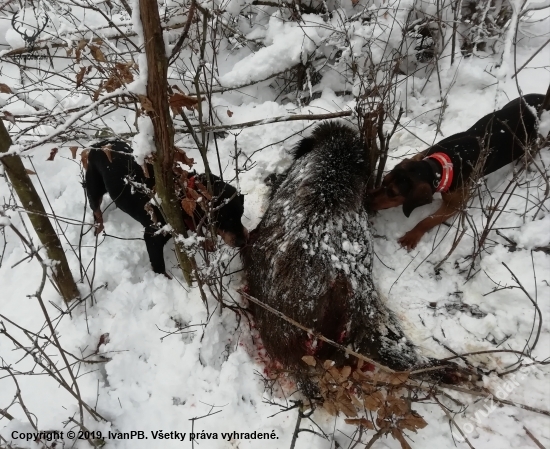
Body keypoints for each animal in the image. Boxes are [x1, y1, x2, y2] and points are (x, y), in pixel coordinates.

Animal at [84, 140, 248, 272]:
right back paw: (98, 230)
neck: (182, 195)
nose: (243, 241)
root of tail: (97, 145)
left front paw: (209, 245)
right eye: (222, 219)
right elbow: (159, 267)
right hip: (93, 188)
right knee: (96, 211)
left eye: (241, 214)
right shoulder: (152, 237)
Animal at [368, 93, 544, 248]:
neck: (440, 166)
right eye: (383, 181)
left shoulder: (455, 205)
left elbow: (428, 220)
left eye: (392, 193)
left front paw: (412, 235)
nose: (366, 199)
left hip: (531, 145)